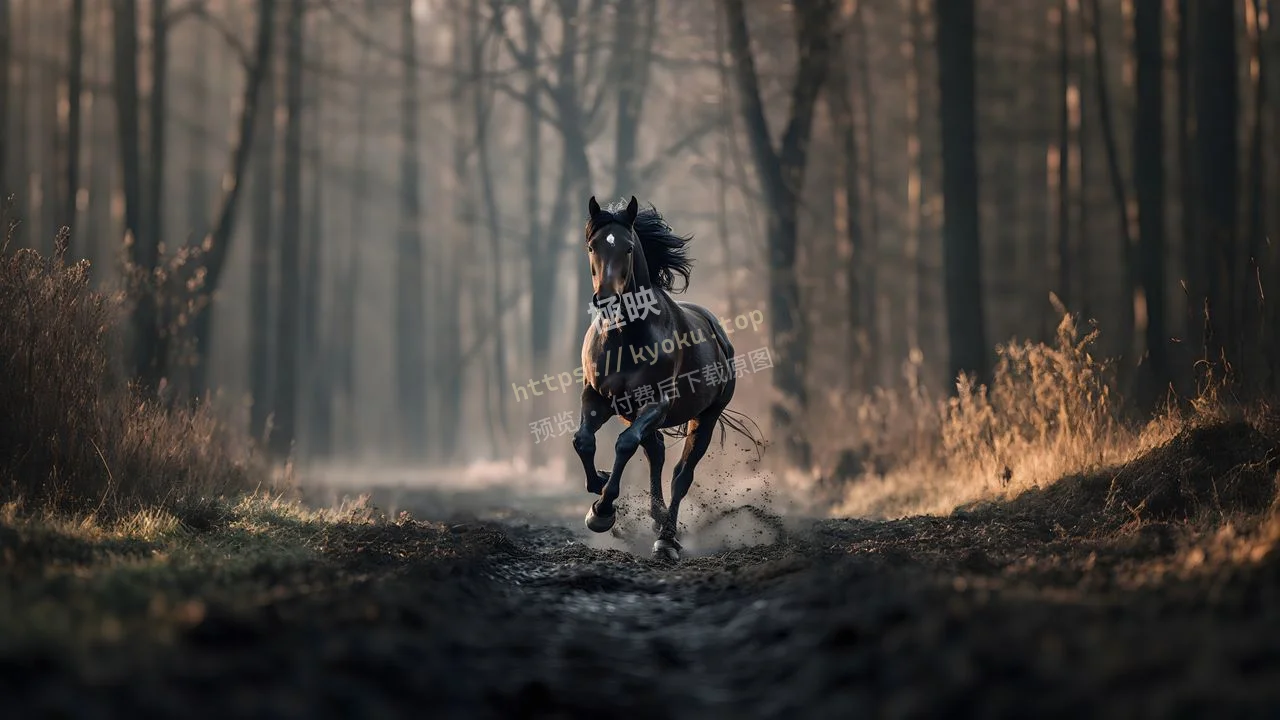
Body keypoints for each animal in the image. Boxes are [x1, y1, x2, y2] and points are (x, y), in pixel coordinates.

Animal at [573, 196, 758, 562]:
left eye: (629, 248)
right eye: (591, 246)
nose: (607, 300)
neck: (624, 337)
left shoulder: (656, 402)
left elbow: (624, 444)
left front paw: (604, 509)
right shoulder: (597, 397)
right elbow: (583, 440)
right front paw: (598, 489)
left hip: (705, 416)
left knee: (680, 475)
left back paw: (667, 539)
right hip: (634, 413)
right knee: (655, 452)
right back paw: (656, 519)